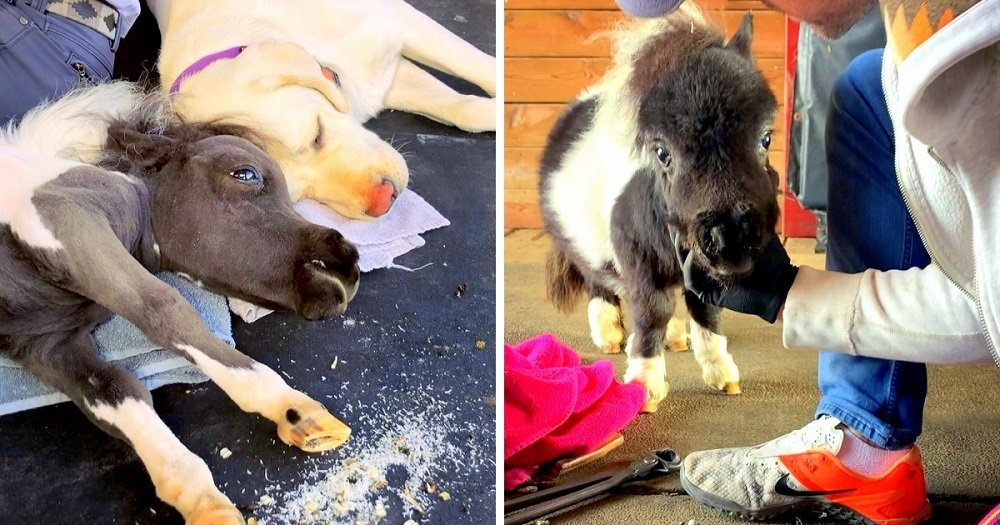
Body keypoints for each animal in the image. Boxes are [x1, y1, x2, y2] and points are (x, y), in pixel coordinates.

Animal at [0, 84, 362, 524]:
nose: (347, 265)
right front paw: (294, 407)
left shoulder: (46, 345)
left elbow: (117, 385)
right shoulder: (65, 218)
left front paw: (202, 500)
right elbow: (164, 309)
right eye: (245, 173)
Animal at [146, 0, 494, 218]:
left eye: (317, 133)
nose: (385, 202)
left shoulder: (398, 22)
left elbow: (478, 67)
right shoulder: (381, 78)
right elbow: (458, 106)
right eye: (303, 196)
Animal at [540, 6, 780, 412]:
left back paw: (676, 338)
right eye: (661, 151)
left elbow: (705, 312)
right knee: (600, 286)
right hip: (585, 249)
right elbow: (651, 313)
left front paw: (723, 374)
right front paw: (646, 387)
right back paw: (610, 335)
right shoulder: (641, 266)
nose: (730, 239)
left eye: (766, 138)